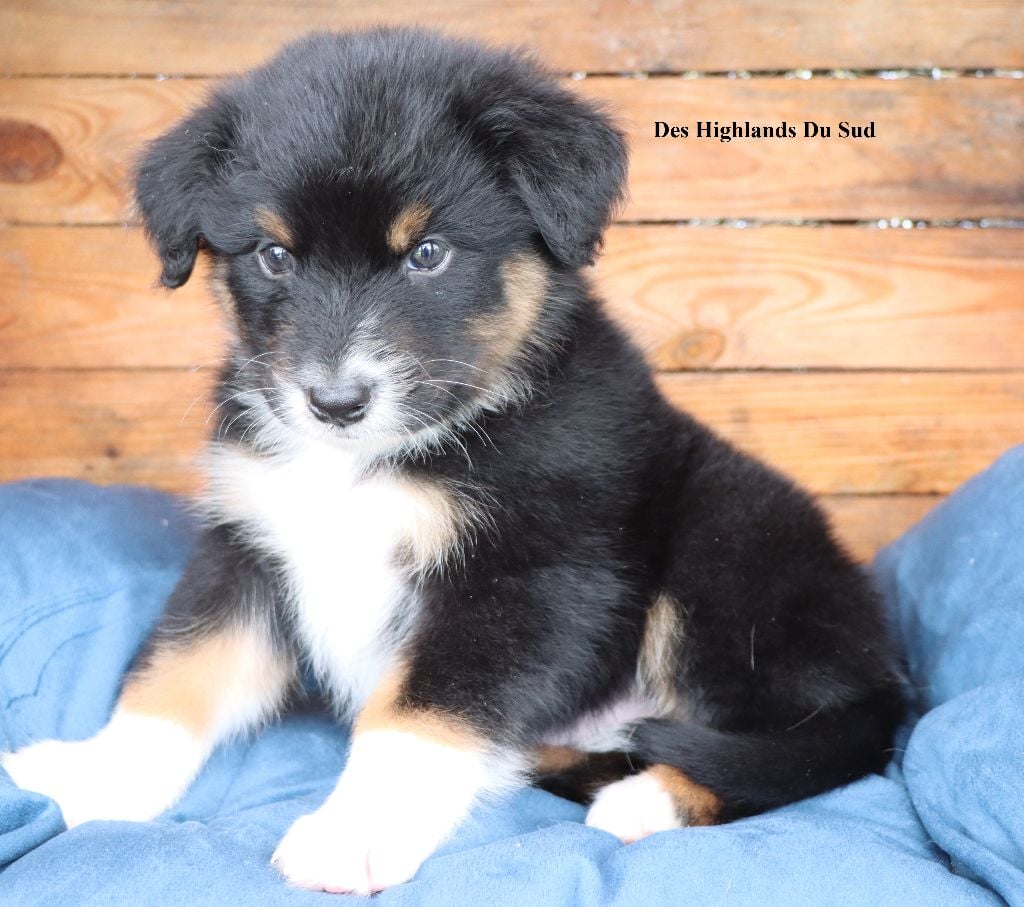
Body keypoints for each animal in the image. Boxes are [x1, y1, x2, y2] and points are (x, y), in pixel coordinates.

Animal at [3, 28, 904, 894]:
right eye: (273, 255)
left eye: (427, 253)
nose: (334, 402)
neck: (373, 460)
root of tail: (890, 676)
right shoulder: (251, 548)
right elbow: (175, 673)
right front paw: (91, 777)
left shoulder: (519, 577)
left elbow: (417, 716)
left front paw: (354, 833)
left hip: (728, 539)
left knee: (794, 749)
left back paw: (650, 797)